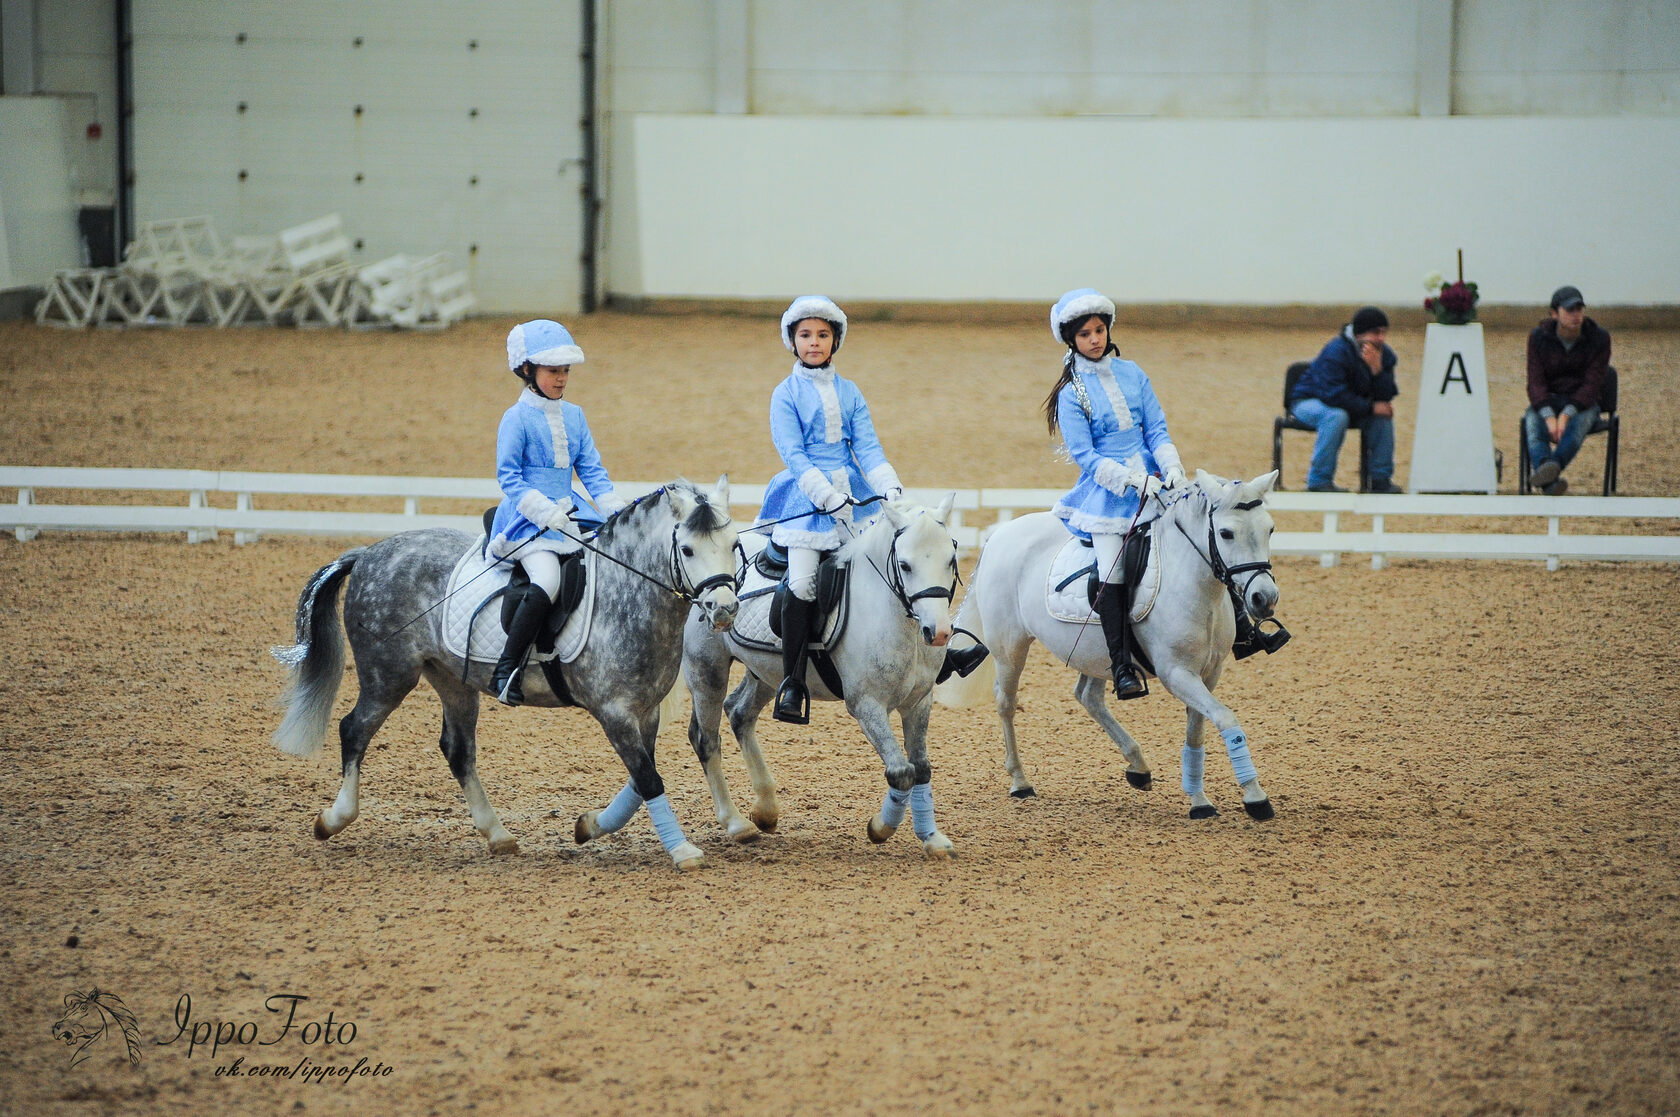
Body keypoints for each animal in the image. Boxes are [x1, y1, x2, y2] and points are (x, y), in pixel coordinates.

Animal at [272, 473, 739, 866]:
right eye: (687, 549)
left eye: (735, 544)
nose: (724, 609)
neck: (627, 594)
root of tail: (368, 552)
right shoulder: (614, 712)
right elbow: (648, 778)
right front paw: (682, 851)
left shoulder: (645, 710)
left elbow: (642, 778)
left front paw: (590, 826)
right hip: (388, 675)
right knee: (354, 729)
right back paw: (334, 819)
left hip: (452, 680)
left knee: (457, 750)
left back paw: (497, 835)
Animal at [682, 493, 967, 853]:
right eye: (905, 565)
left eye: (951, 560)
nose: (939, 632)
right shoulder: (866, 705)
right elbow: (902, 771)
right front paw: (880, 828)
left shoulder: (919, 702)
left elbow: (922, 768)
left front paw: (932, 837)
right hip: (708, 671)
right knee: (705, 738)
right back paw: (736, 823)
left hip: (767, 672)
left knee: (740, 713)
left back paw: (766, 810)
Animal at [940, 470, 1276, 819]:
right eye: (1226, 533)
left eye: (1270, 529)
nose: (1264, 599)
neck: (1196, 585)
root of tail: (1000, 534)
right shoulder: (1177, 674)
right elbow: (1226, 717)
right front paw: (1255, 797)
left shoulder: (1209, 672)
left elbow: (1196, 731)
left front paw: (1199, 800)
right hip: (1010, 647)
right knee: (1006, 703)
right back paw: (1020, 782)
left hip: (1097, 655)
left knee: (1087, 697)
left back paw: (1138, 766)